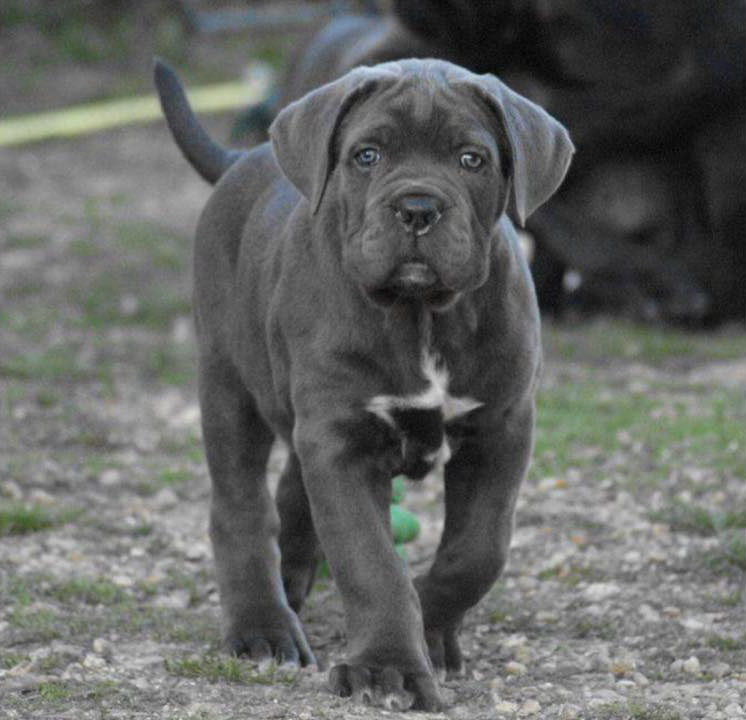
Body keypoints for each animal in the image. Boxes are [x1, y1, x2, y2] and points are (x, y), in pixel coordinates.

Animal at [151, 59, 568, 712]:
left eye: (471, 159)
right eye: (367, 155)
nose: (418, 207)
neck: (421, 315)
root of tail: (244, 157)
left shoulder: (500, 430)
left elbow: (479, 549)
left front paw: (429, 627)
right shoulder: (341, 442)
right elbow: (370, 560)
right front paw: (387, 667)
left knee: (292, 492)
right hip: (227, 385)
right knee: (240, 507)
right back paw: (262, 627)